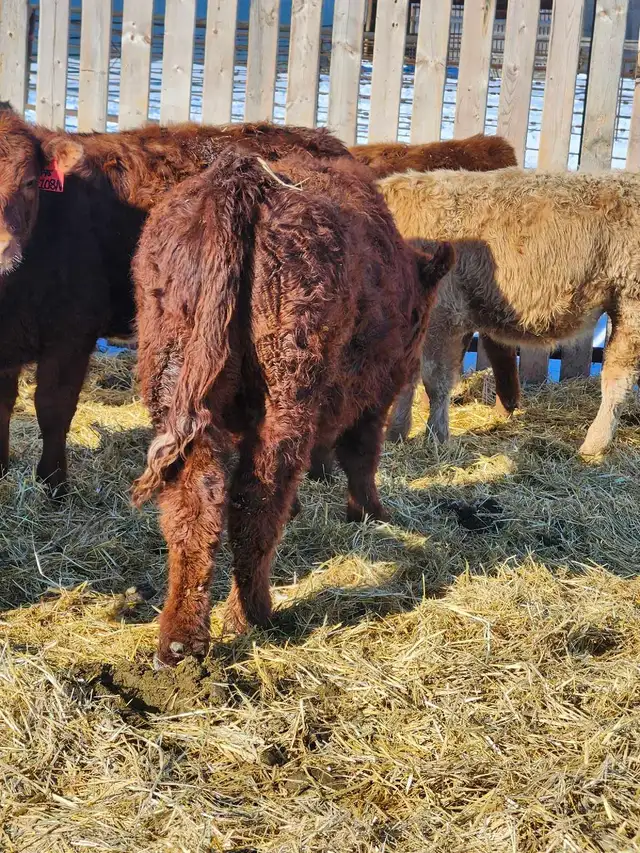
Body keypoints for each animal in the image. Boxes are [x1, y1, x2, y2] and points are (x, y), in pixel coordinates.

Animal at [131, 148, 453, 667]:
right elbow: (361, 457)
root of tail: (243, 180)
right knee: (257, 498)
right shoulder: (372, 399)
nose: (412, 361)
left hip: (174, 383)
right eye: (420, 317)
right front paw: (370, 512)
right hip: (285, 395)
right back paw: (252, 615)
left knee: (194, 502)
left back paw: (180, 641)